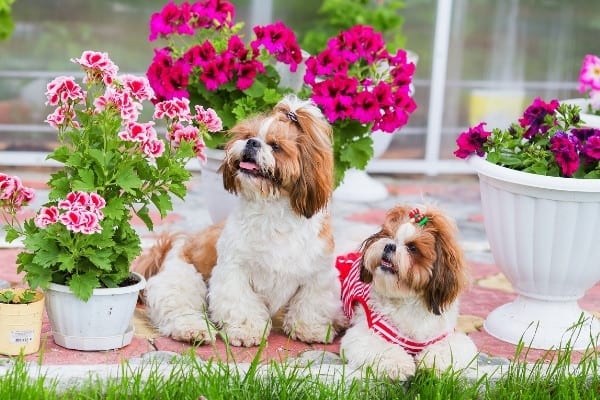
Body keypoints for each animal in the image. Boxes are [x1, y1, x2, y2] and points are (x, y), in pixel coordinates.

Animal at [134, 94, 344, 346]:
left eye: (276, 146)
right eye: (247, 136)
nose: (252, 143)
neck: (272, 210)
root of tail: (177, 242)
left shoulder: (318, 275)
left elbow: (312, 302)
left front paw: (311, 329)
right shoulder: (234, 271)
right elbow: (241, 304)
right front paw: (246, 331)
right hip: (182, 278)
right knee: (178, 306)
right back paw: (193, 329)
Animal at [338, 205, 478, 380]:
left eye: (412, 248)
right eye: (388, 236)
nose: (389, 245)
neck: (408, 300)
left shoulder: (448, 336)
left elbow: (448, 350)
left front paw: (433, 367)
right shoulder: (364, 334)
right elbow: (385, 349)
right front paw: (399, 365)